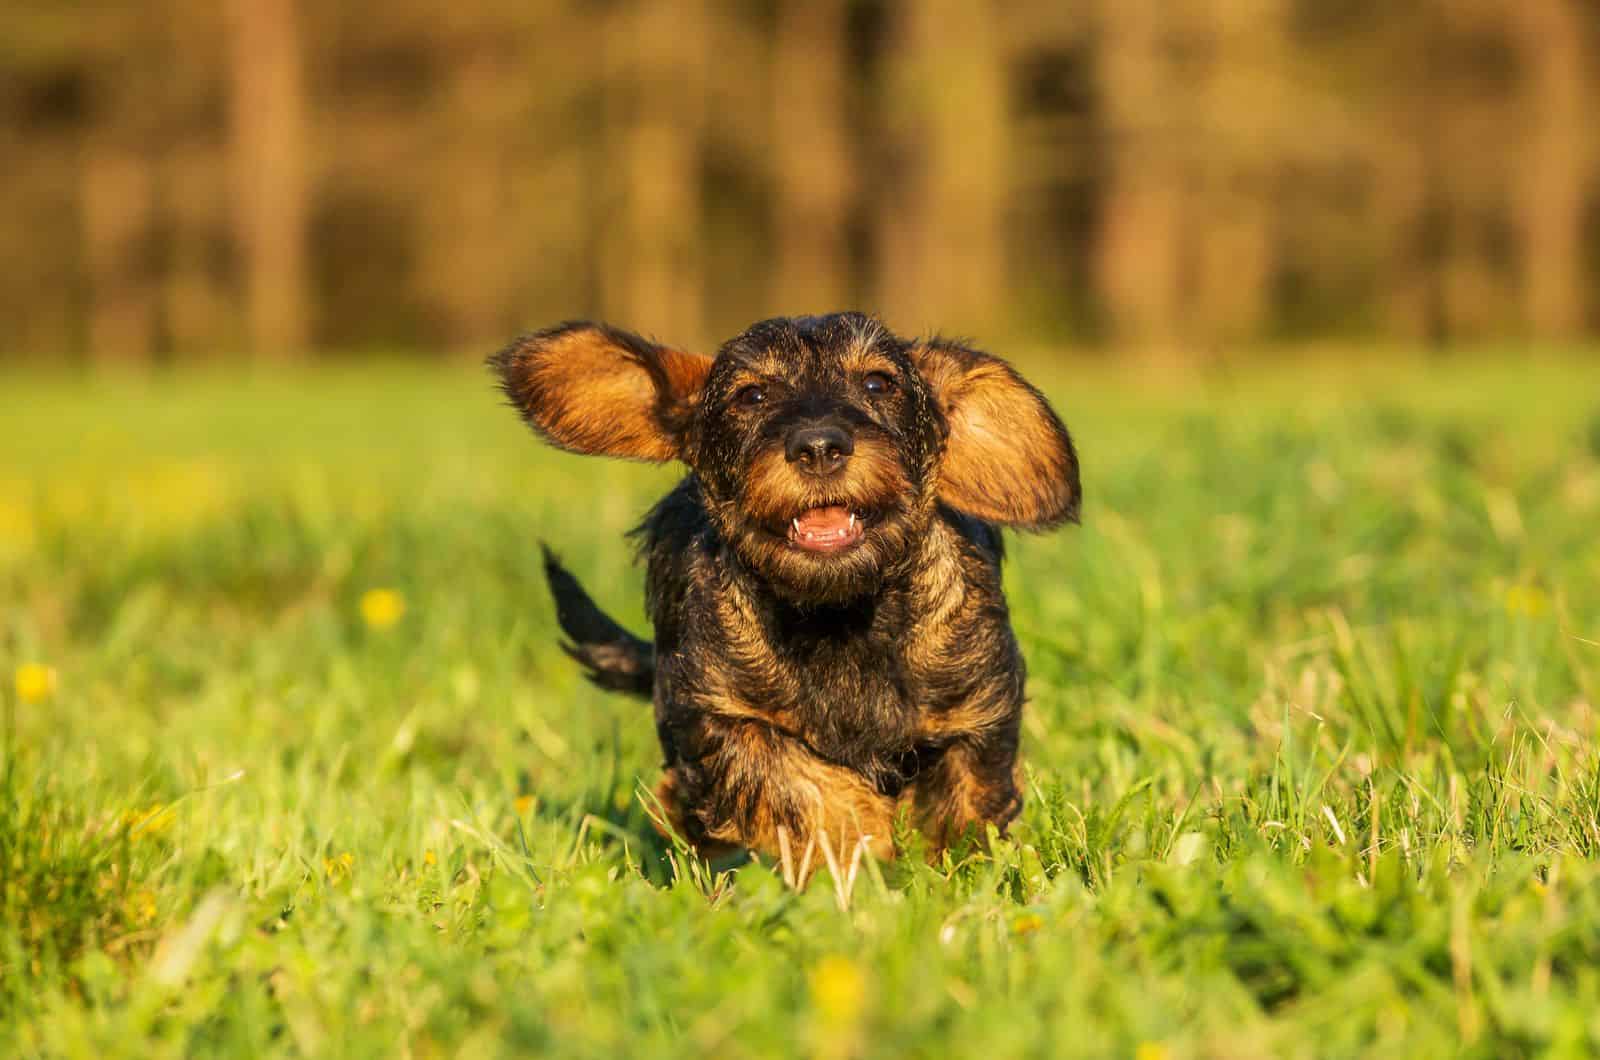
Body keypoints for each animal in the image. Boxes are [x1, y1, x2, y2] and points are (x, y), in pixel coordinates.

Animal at [492, 313, 1081, 871]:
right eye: (751, 395)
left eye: (877, 382)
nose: (819, 446)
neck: (840, 617)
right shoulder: (714, 711)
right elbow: (790, 778)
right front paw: (859, 835)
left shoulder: (979, 711)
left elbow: (962, 807)